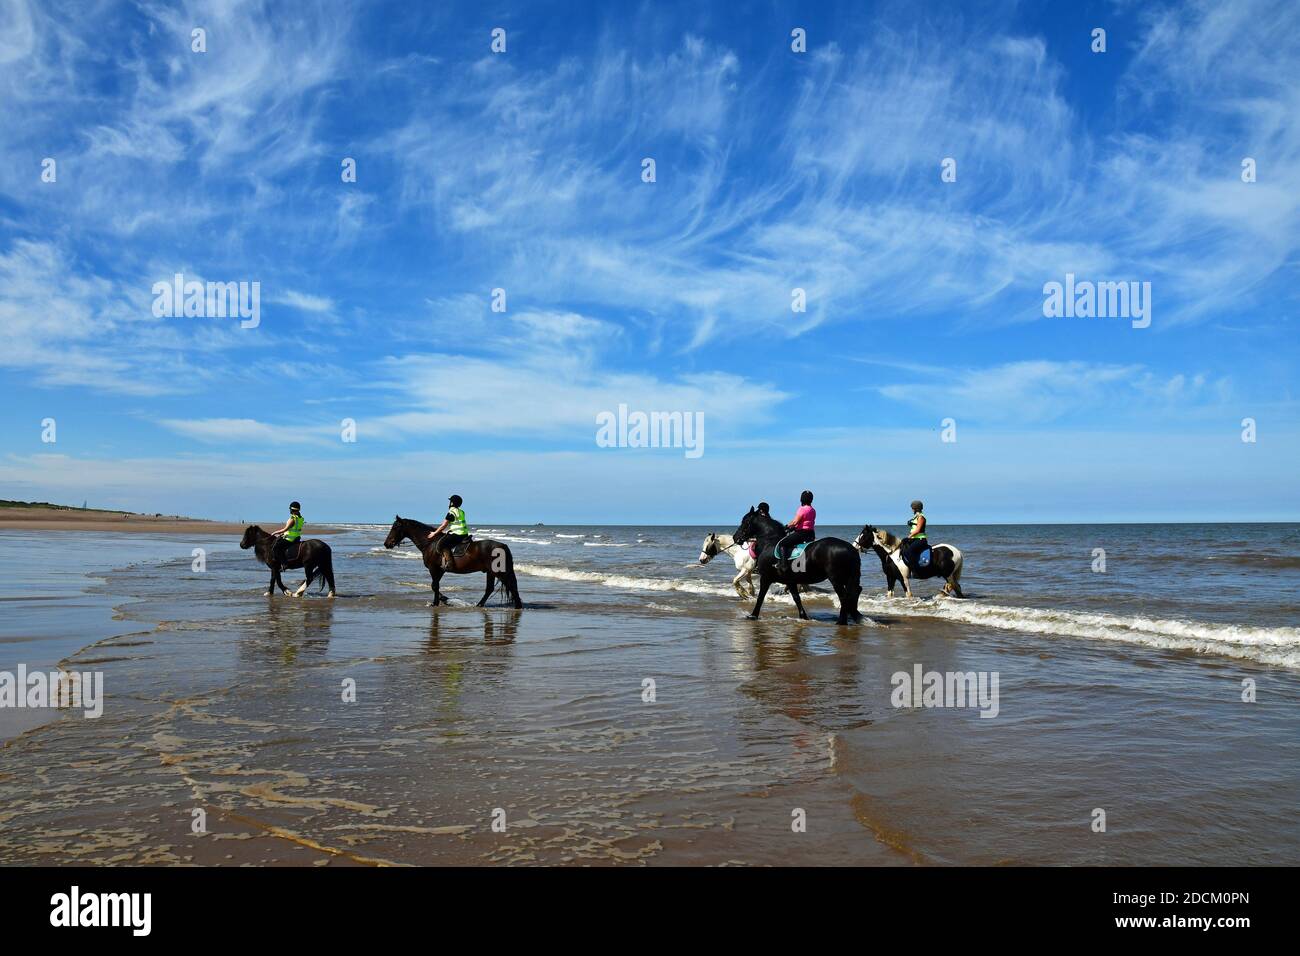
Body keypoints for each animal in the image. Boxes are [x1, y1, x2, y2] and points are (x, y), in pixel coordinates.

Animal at [382, 512, 525, 608]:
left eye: (395, 527)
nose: (387, 544)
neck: (429, 543)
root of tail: (503, 546)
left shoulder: (434, 569)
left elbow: (434, 586)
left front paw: (437, 602)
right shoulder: (440, 570)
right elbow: (435, 586)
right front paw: (442, 599)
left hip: (498, 572)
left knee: (511, 585)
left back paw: (517, 606)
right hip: (490, 572)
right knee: (491, 589)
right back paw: (480, 605)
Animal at [733, 504, 863, 624]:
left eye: (744, 521)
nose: (735, 537)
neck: (769, 543)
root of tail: (850, 549)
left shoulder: (765, 578)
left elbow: (760, 597)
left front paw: (753, 615)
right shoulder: (790, 581)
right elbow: (797, 598)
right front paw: (804, 617)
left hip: (836, 579)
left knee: (844, 597)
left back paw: (842, 621)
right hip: (848, 577)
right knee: (855, 592)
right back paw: (854, 616)